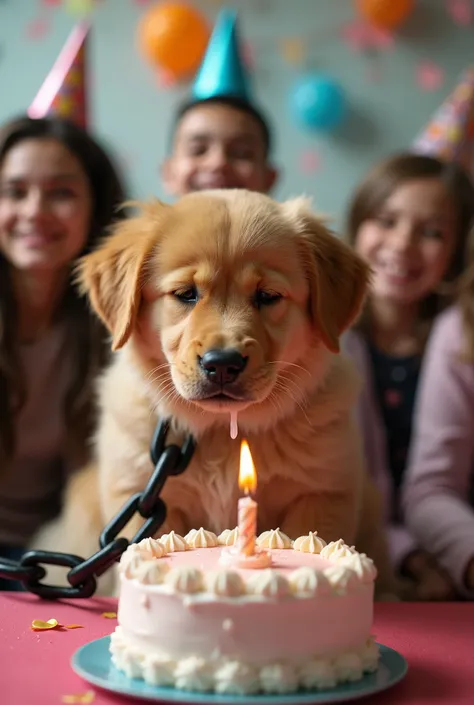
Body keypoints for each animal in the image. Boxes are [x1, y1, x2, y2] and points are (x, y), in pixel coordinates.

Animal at [33, 188, 394, 592]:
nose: (222, 363)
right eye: (185, 294)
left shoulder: (321, 494)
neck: (224, 431)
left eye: (268, 295)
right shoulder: (146, 497)